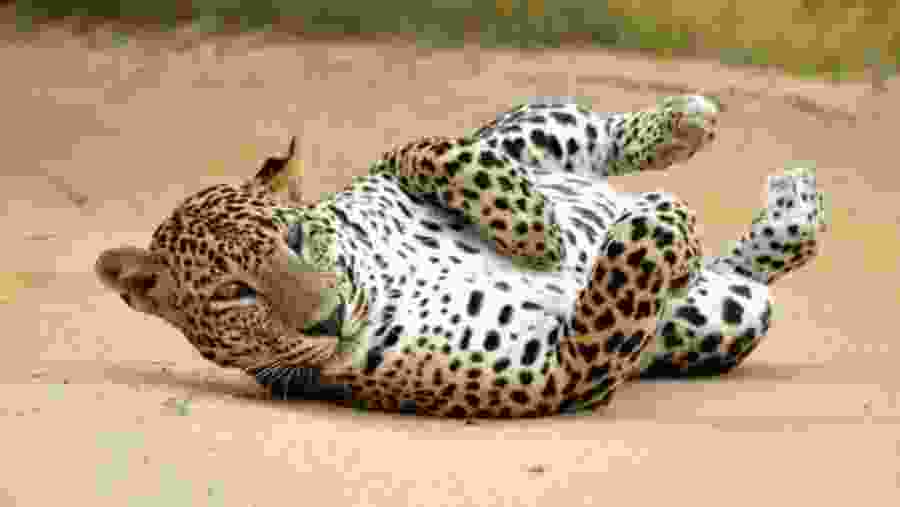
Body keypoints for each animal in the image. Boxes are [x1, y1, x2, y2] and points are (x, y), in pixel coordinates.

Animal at [95, 94, 828, 418]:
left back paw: (684, 125)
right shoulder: (563, 374)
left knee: (572, 130)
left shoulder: (395, 170)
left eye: (297, 238)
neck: (380, 283)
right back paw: (785, 206)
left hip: (533, 132)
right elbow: (629, 266)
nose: (329, 317)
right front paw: (657, 220)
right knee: (739, 273)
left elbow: (424, 147)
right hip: (725, 315)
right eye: (233, 295)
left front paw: (538, 234)